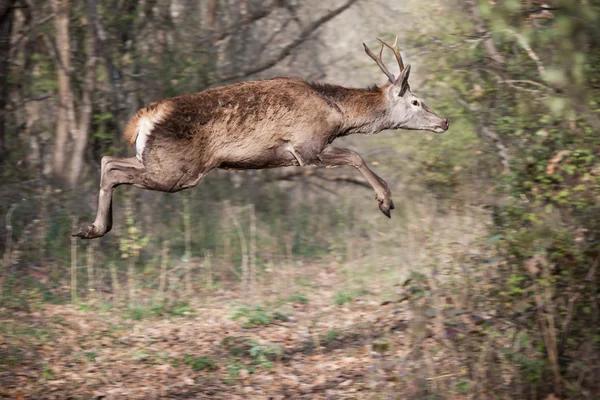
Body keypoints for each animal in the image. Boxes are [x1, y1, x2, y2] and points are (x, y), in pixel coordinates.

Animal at [74, 36, 450, 239]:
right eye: (416, 101)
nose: (444, 121)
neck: (335, 113)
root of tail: (144, 118)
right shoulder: (306, 146)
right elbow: (356, 156)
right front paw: (385, 201)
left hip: (155, 159)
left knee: (109, 160)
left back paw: (90, 229)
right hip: (176, 170)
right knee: (113, 168)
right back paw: (94, 228)